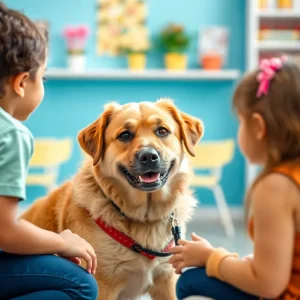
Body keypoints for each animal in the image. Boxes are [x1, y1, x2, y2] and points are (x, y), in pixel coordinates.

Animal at [22, 99, 203, 300]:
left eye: (162, 131)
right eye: (125, 135)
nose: (148, 156)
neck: (144, 218)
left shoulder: (166, 280)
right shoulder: (102, 284)